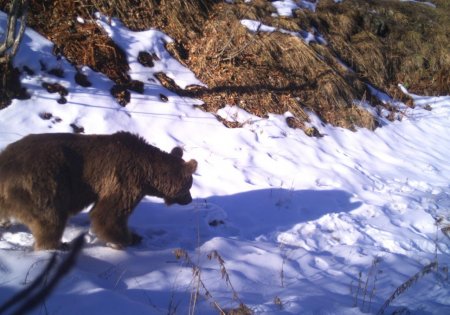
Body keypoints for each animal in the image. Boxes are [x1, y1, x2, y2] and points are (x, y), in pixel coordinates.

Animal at [0, 132, 197, 251]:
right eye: (189, 186)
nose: (190, 200)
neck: (149, 175)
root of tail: (5, 163)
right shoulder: (124, 178)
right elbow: (109, 213)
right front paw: (127, 238)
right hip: (43, 183)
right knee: (50, 217)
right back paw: (57, 245)